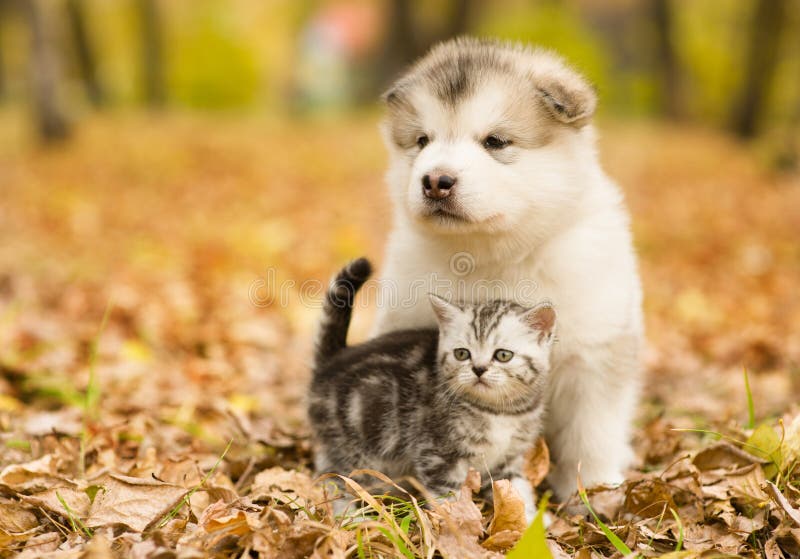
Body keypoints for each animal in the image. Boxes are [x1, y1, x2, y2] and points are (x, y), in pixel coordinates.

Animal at [306, 258, 556, 520]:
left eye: (503, 355)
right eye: (462, 354)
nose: (478, 369)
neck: (500, 412)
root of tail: (329, 364)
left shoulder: (508, 458)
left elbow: (516, 488)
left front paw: (530, 519)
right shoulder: (438, 453)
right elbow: (447, 496)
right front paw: (456, 524)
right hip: (354, 445)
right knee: (332, 478)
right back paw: (347, 517)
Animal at [374, 37, 644, 498]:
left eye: (496, 141)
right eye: (422, 140)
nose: (435, 181)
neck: (489, 255)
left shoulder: (594, 355)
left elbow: (590, 435)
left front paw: (594, 494)